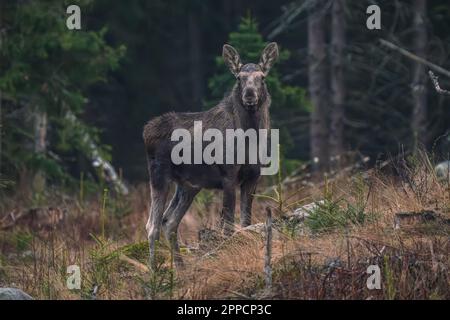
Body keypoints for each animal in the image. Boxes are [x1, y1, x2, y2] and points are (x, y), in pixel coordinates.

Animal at [143, 42, 278, 268]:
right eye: (239, 77)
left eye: (262, 77)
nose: (250, 95)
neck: (249, 140)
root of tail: (145, 132)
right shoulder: (228, 175)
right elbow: (228, 225)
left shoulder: (253, 176)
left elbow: (246, 221)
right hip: (159, 175)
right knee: (151, 225)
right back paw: (154, 271)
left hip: (188, 185)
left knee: (169, 221)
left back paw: (180, 267)